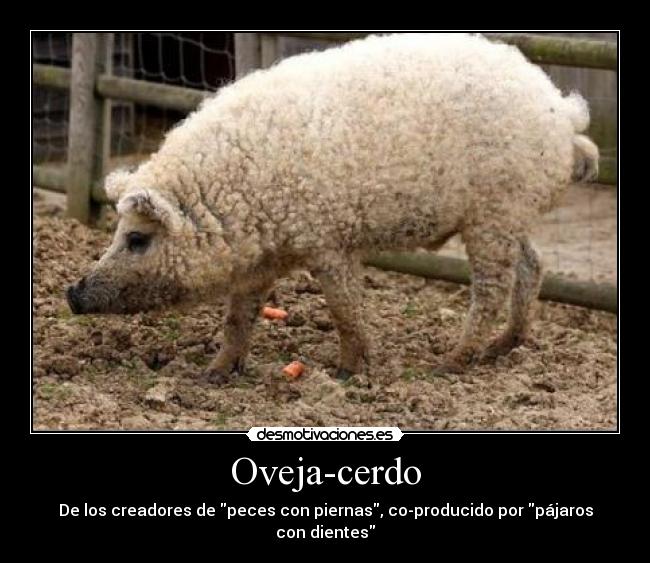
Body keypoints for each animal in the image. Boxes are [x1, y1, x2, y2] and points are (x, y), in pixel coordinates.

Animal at [66, 33, 599, 382]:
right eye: (118, 233)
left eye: (137, 238)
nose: (72, 293)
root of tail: (562, 110)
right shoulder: (262, 261)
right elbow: (239, 316)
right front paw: (213, 375)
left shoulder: (328, 240)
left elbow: (344, 307)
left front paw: (346, 372)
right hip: (512, 214)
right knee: (533, 264)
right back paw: (501, 349)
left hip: (494, 213)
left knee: (492, 287)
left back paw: (450, 363)